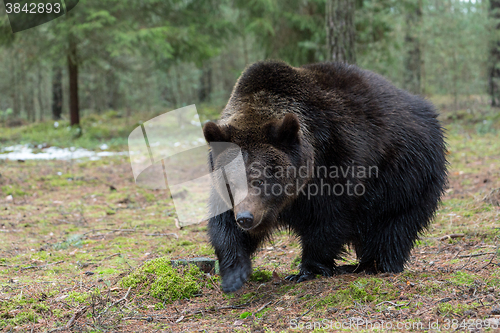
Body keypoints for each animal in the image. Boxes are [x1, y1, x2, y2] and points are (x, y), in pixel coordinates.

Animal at [201, 60, 448, 294]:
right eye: (231, 183)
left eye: (259, 180)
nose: (245, 218)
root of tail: (426, 109)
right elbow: (224, 225)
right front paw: (234, 273)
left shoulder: (336, 160)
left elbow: (328, 219)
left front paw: (307, 270)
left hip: (405, 170)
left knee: (394, 222)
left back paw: (373, 264)